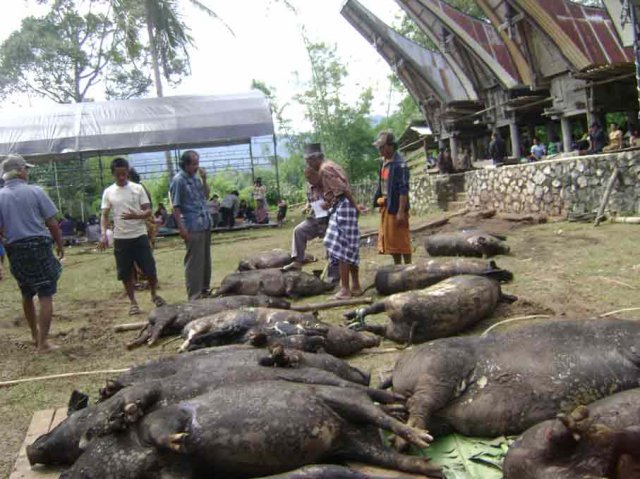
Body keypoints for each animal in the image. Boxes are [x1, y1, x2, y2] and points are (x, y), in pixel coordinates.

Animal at [344, 274, 516, 344]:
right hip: (396, 323)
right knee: (376, 323)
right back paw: (351, 322)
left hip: (397, 301)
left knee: (375, 313)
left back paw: (351, 320)